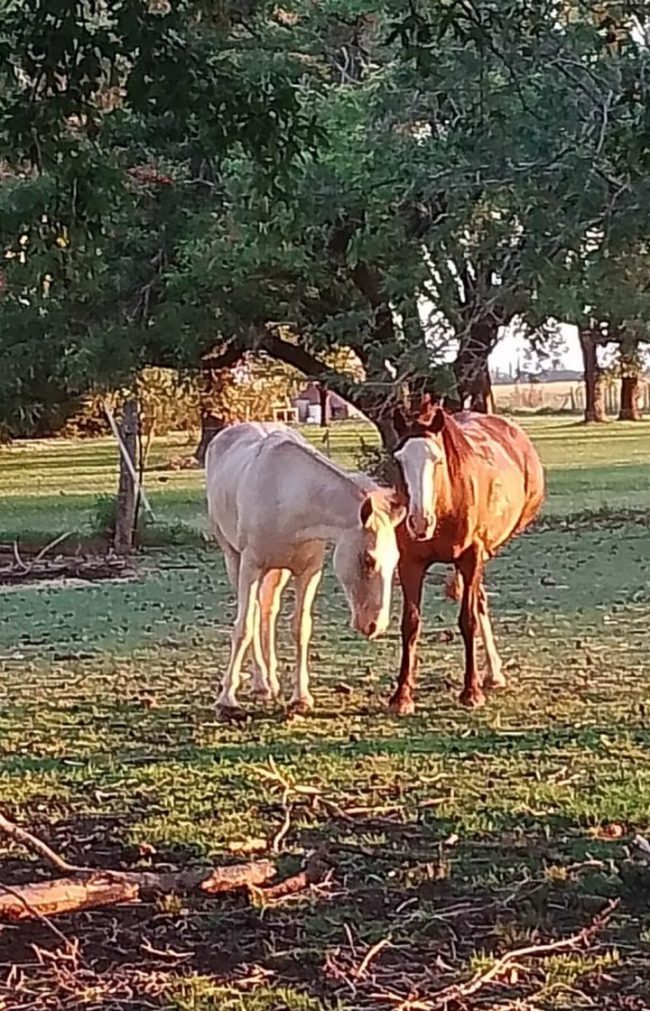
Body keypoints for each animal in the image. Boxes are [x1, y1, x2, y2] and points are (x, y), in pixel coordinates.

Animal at [205, 422, 405, 714]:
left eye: (395, 562)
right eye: (369, 559)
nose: (374, 626)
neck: (285, 494)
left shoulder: (308, 572)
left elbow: (301, 628)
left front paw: (300, 697)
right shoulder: (251, 566)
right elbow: (243, 627)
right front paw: (226, 698)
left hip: (278, 572)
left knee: (267, 612)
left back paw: (269, 681)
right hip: (235, 560)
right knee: (254, 614)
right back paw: (260, 683)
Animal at [390, 404, 545, 712]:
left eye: (437, 459)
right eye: (400, 461)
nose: (419, 521)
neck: (446, 504)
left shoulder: (472, 557)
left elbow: (468, 620)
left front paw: (471, 691)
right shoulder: (410, 563)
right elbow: (410, 624)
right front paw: (402, 696)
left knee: (478, 603)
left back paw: (492, 675)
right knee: (481, 598)